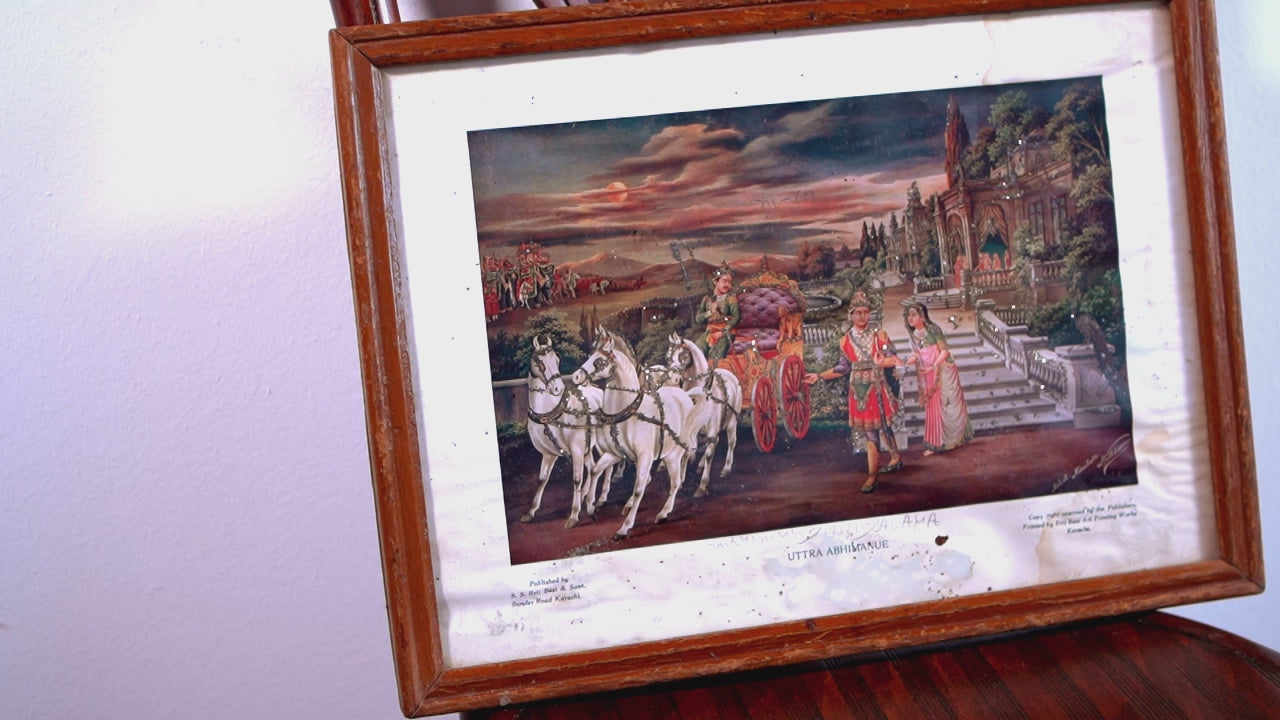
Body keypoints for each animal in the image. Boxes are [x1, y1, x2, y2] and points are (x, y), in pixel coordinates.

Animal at [523, 336, 615, 528]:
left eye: (557, 360)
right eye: (540, 362)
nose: (558, 388)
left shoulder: (577, 450)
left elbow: (576, 479)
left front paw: (574, 515)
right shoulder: (549, 454)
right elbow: (542, 479)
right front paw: (531, 511)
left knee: (606, 466)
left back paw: (599, 499)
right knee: (592, 466)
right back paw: (587, 497)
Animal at [570, 329, 697, 539]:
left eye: (599, 361)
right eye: (590, 354)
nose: (576, 377)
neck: (627, 412)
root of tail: (685, 397)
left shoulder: (644, 457)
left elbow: (638, 489)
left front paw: (624, 527)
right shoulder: (614, 453)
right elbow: (596, 470)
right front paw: (590, 507)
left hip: (673, 455)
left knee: (675, 481)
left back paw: (663, 513)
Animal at [665, 331, 742, 496]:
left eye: (682, 355)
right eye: (668, 357)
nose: (673, 379)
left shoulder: (712, 428)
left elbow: (708, 454)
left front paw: (702, 485)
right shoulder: (689, 429)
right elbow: (687, 452)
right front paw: (681, 481)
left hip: (732, 421)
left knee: (731, 442)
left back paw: (726, 468)